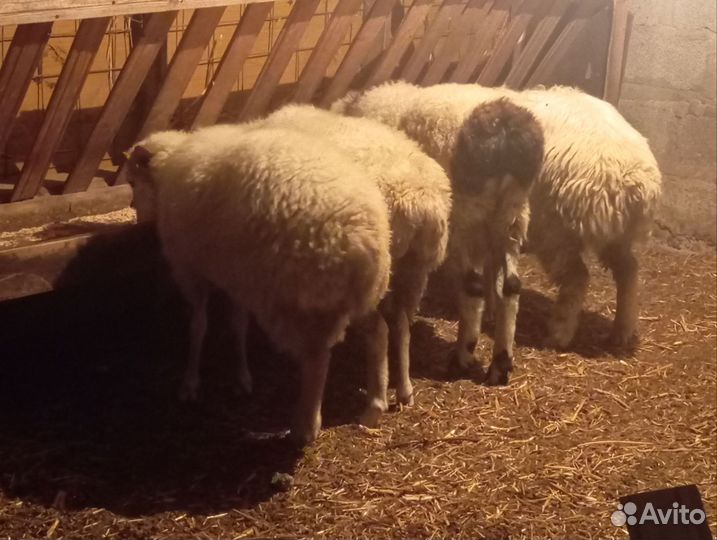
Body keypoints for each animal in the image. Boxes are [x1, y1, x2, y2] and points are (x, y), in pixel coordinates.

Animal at [125, 124, 391, 444]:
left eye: (132, 182)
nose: (135, 215)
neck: (167, 172)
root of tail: (362, 236)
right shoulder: (238, 278)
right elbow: (237, 324)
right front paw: (242, 378)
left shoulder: (189, 270)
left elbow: (197, 327)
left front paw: (190, 383)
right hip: (360, 294)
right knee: (378, 331)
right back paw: (375, 404)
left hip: (299, 300)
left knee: (317, 359)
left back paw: (305, 426)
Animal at [334, 86, 545, 385]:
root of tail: (507, 129)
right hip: (512, 216)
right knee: (512, 287)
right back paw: (500, 364)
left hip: (466, 217)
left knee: (473, 287)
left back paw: (463, 356)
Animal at [335, 81, 662, 352]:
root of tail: (635, 177)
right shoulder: (491, 224)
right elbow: (492, 267)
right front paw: (493, 308)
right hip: (613, 233)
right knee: (628, 271)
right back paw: (622, 331)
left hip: (554, 230)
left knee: (577, 278)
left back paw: (559, 334)